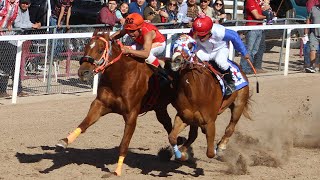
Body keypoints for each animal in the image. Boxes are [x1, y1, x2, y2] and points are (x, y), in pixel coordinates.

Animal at [54, 31, 175, 176]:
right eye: (86, 47)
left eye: (100, 50)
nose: (83, 72)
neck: (121, 76)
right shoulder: (100, 104)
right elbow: (84, 124)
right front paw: (65, 141)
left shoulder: (131, 115)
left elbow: (124, 144)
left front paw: (117, 171)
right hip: (160, 107)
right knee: (168, 124)